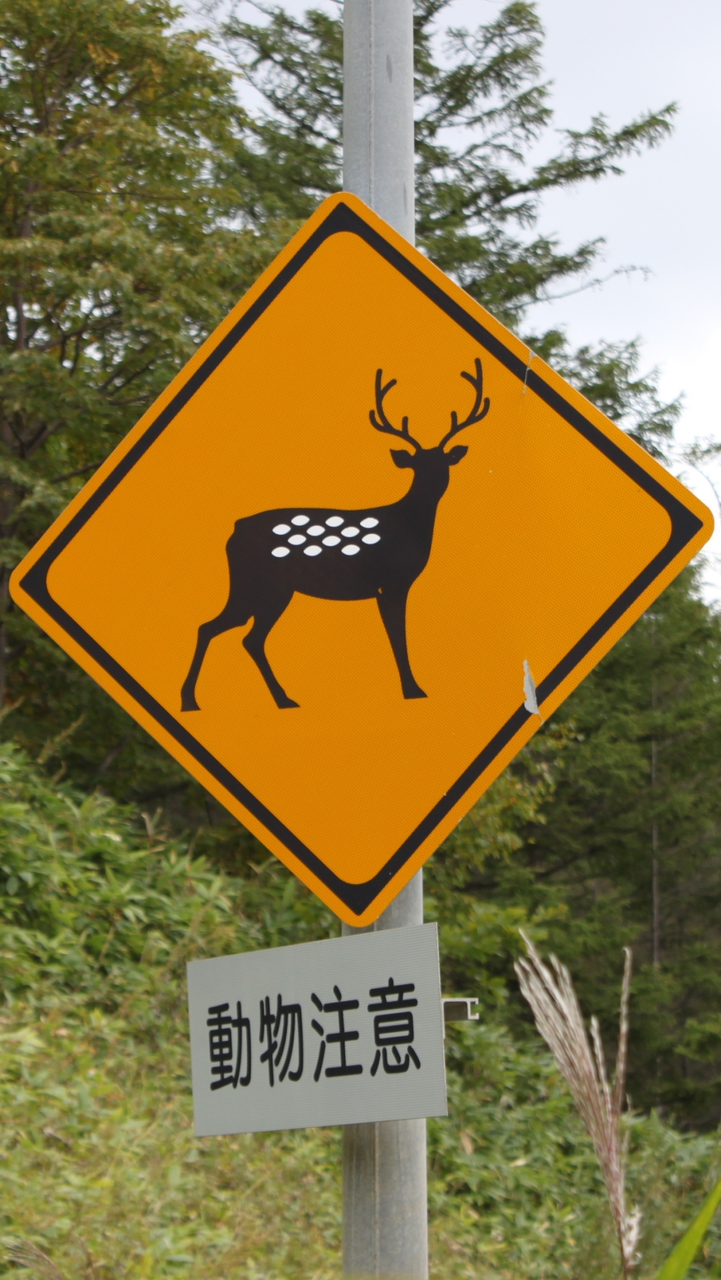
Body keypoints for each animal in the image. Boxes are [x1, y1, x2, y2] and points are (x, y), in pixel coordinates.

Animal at [180, 358, 491, 711]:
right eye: (418, 465)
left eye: (443, 463)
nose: (436, 484)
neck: (409, 526)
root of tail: (235, 529)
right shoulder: (391, 582)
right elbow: (397, 636)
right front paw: (413, 690)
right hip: (260, 585)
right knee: (222, 630)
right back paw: (195, 700)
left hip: (266, 589)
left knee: (241, 635)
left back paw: (278, 699)